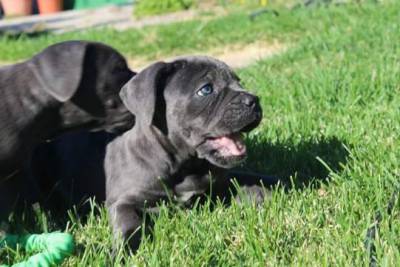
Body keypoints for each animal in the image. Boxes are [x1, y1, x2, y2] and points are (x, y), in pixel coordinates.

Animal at [32, 56, 276, 251]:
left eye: (239, 82)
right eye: (206, 89)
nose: (254, 100)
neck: (184, 165)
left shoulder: (220, 182)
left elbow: (256, 179)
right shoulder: (123, 203)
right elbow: (130, 226)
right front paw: (123, 251)